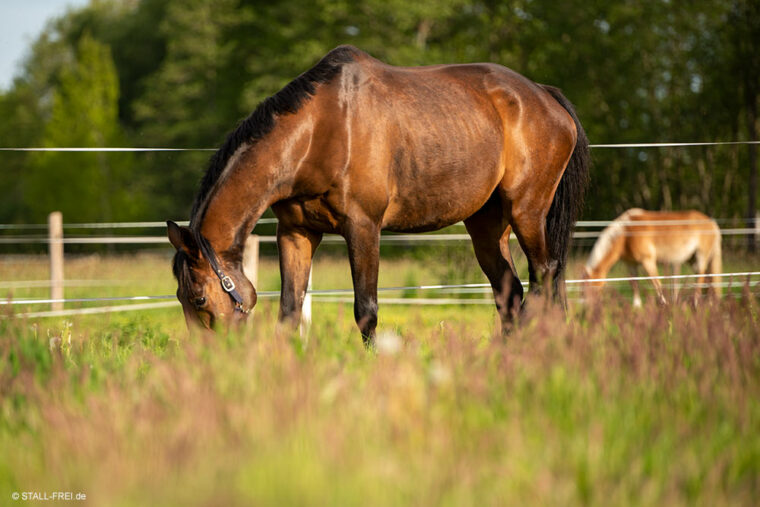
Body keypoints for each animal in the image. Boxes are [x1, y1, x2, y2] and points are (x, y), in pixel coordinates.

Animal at [169, 45, 592, 344]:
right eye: (179, 298)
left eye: (199, 299)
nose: (209, 359)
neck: (318, 132)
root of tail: (545, 96)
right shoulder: (295, 233)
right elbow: (290, 309)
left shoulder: (363, 228)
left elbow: (366, 308)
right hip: (487, 225)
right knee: (510, 291)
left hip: (527, 212)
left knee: (545, 276)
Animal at [580, 209, 724, 306]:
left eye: (589, 287)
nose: (587, 306)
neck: (626, 234)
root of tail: (712, 223)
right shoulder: (630, 264)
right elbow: (634, 283)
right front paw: (637, 306)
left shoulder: (647, 261)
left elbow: (656, 283)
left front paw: (664, 304)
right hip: (693, 259)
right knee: (708, 278)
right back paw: (709, 302)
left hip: (701, 257)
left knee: (700, 276)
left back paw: (696, 302)